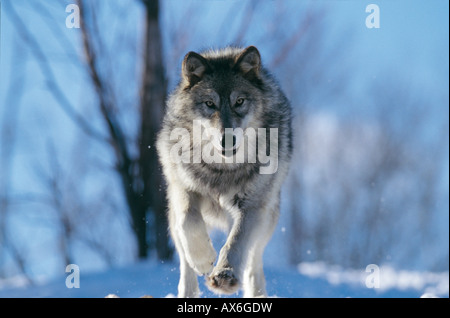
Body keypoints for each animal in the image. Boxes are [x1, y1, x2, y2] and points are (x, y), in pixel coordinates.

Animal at [157, 46, 292, 296]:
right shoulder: (183, 188)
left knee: (253, 262)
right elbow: (188, 220)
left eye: (239, 101)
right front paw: (203, 259)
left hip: (266, 217)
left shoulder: (252, 206)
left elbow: (236, 242)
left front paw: (224, 275)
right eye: (210, 104)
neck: (221, 170)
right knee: (184, 262)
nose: (227, 139)